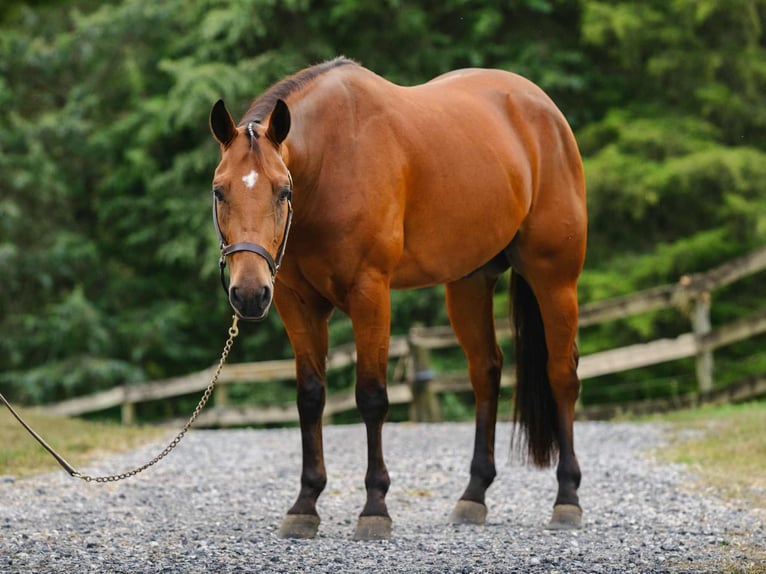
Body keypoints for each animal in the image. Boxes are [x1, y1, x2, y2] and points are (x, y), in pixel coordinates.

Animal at [209, 57, 587, 541]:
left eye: (282, 191)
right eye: (220, 190)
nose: (250, 293)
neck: (332, 161)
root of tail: (544, 109)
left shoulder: (370, 293)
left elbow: (372, 396)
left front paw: (374, 508)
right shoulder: (296, 302)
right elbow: (310, 397)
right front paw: (305, 505)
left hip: (555, 279)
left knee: (561, 375)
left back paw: (567, 498)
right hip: (468, 284)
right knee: (486, 373)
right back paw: (473, 496)